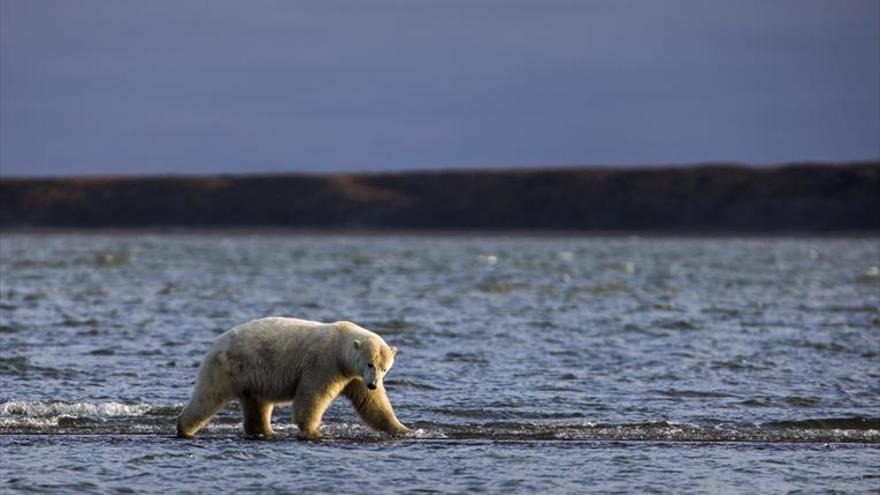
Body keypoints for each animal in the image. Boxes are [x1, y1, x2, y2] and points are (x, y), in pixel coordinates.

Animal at [179, 316, 412, 440]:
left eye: (384, 368)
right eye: (370, 363)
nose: (374, 384)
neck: (341, 349)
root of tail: (216, 343)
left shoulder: (354, 376)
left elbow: (373, 405)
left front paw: (404, 429)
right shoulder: (324, 364)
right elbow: (312, 396)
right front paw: (314, 431)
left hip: (253, 377)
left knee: (257, 404)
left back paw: (266, 431)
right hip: (229, 367)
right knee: (208, 397)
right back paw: (184, 428)